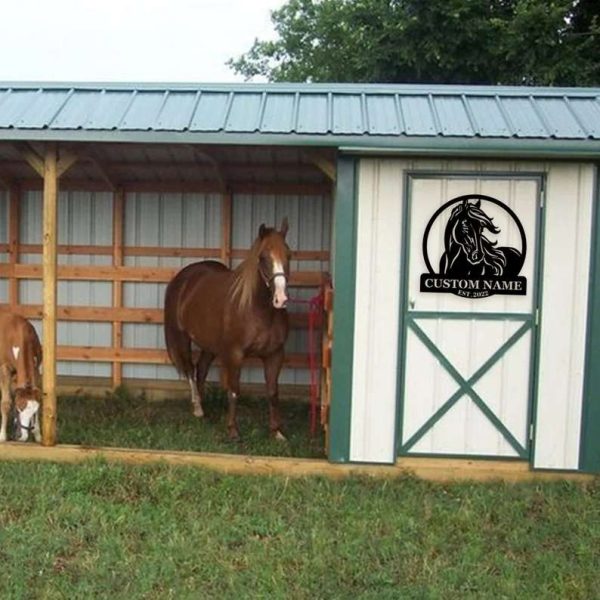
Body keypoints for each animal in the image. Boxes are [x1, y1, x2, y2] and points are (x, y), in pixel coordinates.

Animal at [0, 312, 42, 442]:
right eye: (20, 407)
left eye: (34, 411)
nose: (22, 436)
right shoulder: (4, 368)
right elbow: (5, 402)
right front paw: (2, 436)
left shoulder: (37, 368)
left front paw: (38, 434)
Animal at [164, 218, 290, 438]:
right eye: (263, 257)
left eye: (289, 255)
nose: (280, 299)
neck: (258, 310)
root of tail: (184, 277)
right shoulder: (234, 354)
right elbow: (233, 391)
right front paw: (232, 430)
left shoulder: (275, 354)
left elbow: (273, 392)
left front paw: (276, 432)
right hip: (182, 337)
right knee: (190, 369)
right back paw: (197, 408)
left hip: (209, 343)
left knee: (201, 369)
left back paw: (204, 408)